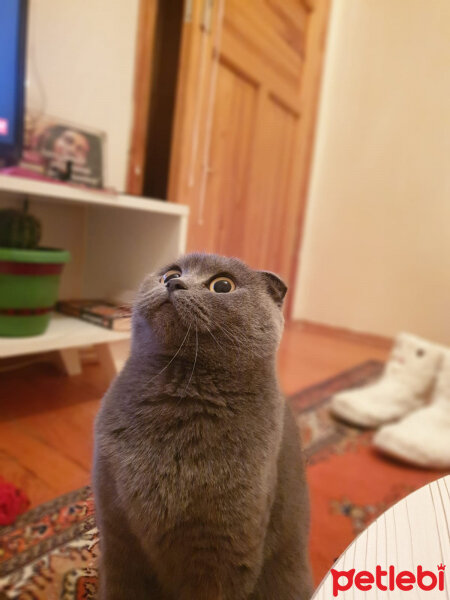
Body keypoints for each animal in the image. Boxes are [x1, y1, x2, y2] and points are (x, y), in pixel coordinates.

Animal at [94, 251, 312, 596]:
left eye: (222, 285)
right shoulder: (116, 531)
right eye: (170, 273)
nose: (173, 283)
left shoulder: (224, 548)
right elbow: (120, 585)